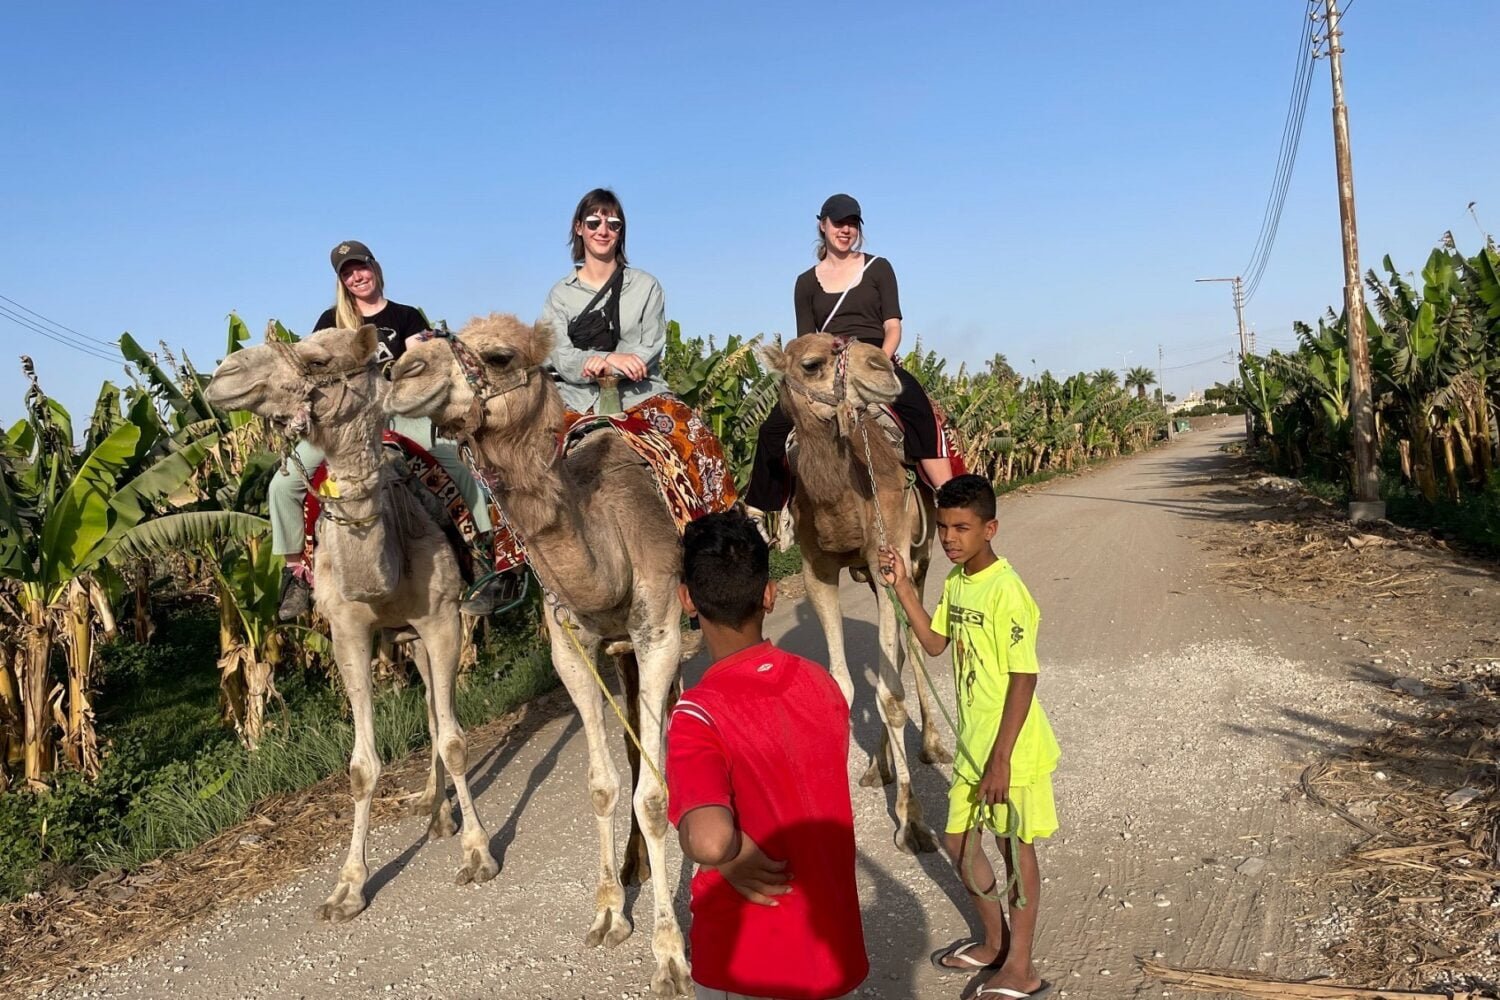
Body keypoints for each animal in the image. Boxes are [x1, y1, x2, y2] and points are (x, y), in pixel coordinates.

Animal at [204, 326, 498, 923]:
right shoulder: (347, 632)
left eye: (318, 358)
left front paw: (479, 854)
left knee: (438, 713)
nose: (223, 373)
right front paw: (347, 889)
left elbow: (456, 741)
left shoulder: (441, 618)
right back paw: (435, 810)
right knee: (429, 708)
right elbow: (362, 767)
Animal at [387, 316, 690, 995]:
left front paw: (670, 954)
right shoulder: (571, 650)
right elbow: (604, 784)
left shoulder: (660, 630)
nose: (399, 372)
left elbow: (655, 794)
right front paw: (608, 913)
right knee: (635, 738)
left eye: (499, 356)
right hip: (621, 651)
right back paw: (632, 866)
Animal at [768, 334, 942, 851]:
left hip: (920, 557)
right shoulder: (817, 569)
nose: (883, 367)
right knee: (896, 653)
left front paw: (913, 821)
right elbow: (845, 687)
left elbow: (889, 694)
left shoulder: (891, 553)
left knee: (911, 647)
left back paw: (931, 745)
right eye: (810, 363)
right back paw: (876, 766)